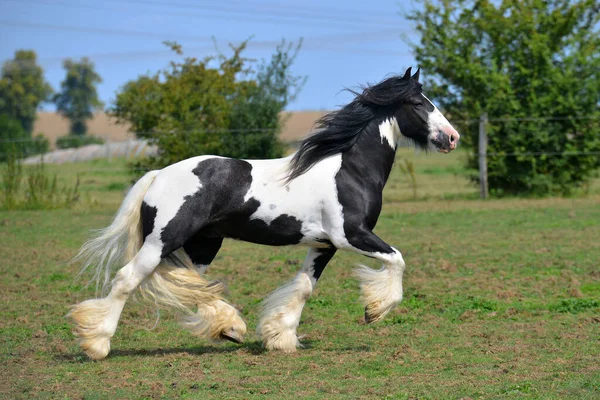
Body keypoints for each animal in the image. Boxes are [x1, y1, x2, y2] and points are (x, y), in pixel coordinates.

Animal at [69, 66, 460, 360]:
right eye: (418, 103)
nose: (452, 137)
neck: (349, 170)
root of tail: (157, 176)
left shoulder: (324, 244)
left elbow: (304, 287)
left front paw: (280, 336)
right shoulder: (350, 235)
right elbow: (397, 259)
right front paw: (374, 310)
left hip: (203, 245)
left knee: (195, 286)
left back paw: (231, 328)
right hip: (162, 241)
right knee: (127, 279)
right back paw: (97, 344)